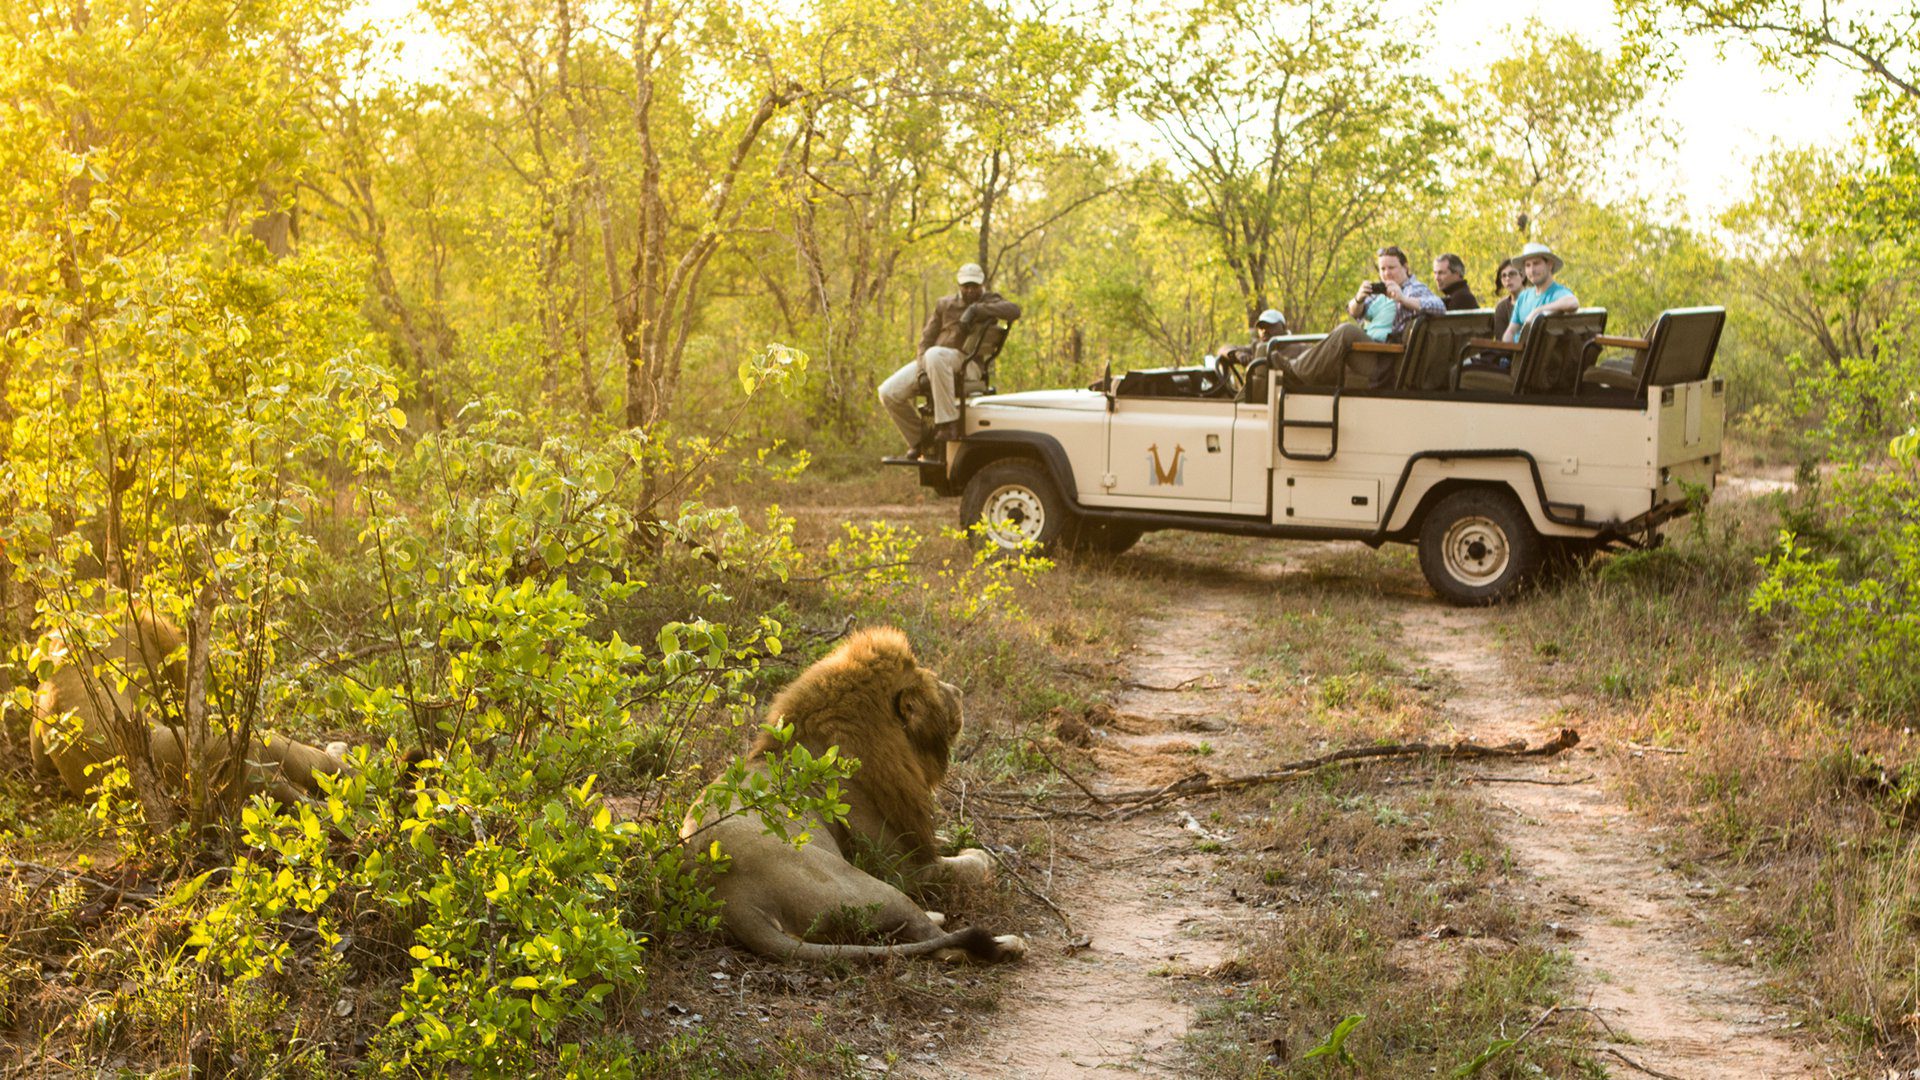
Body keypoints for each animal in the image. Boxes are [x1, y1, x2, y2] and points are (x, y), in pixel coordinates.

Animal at [683, 626, 1029, 960]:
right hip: (869, 885)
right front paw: (980, 855)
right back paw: (1007, 943)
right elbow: (968, 866)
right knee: (944, 947)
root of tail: (734, 900)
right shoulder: (905, 866)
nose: (959, 691)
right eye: (936, 685)